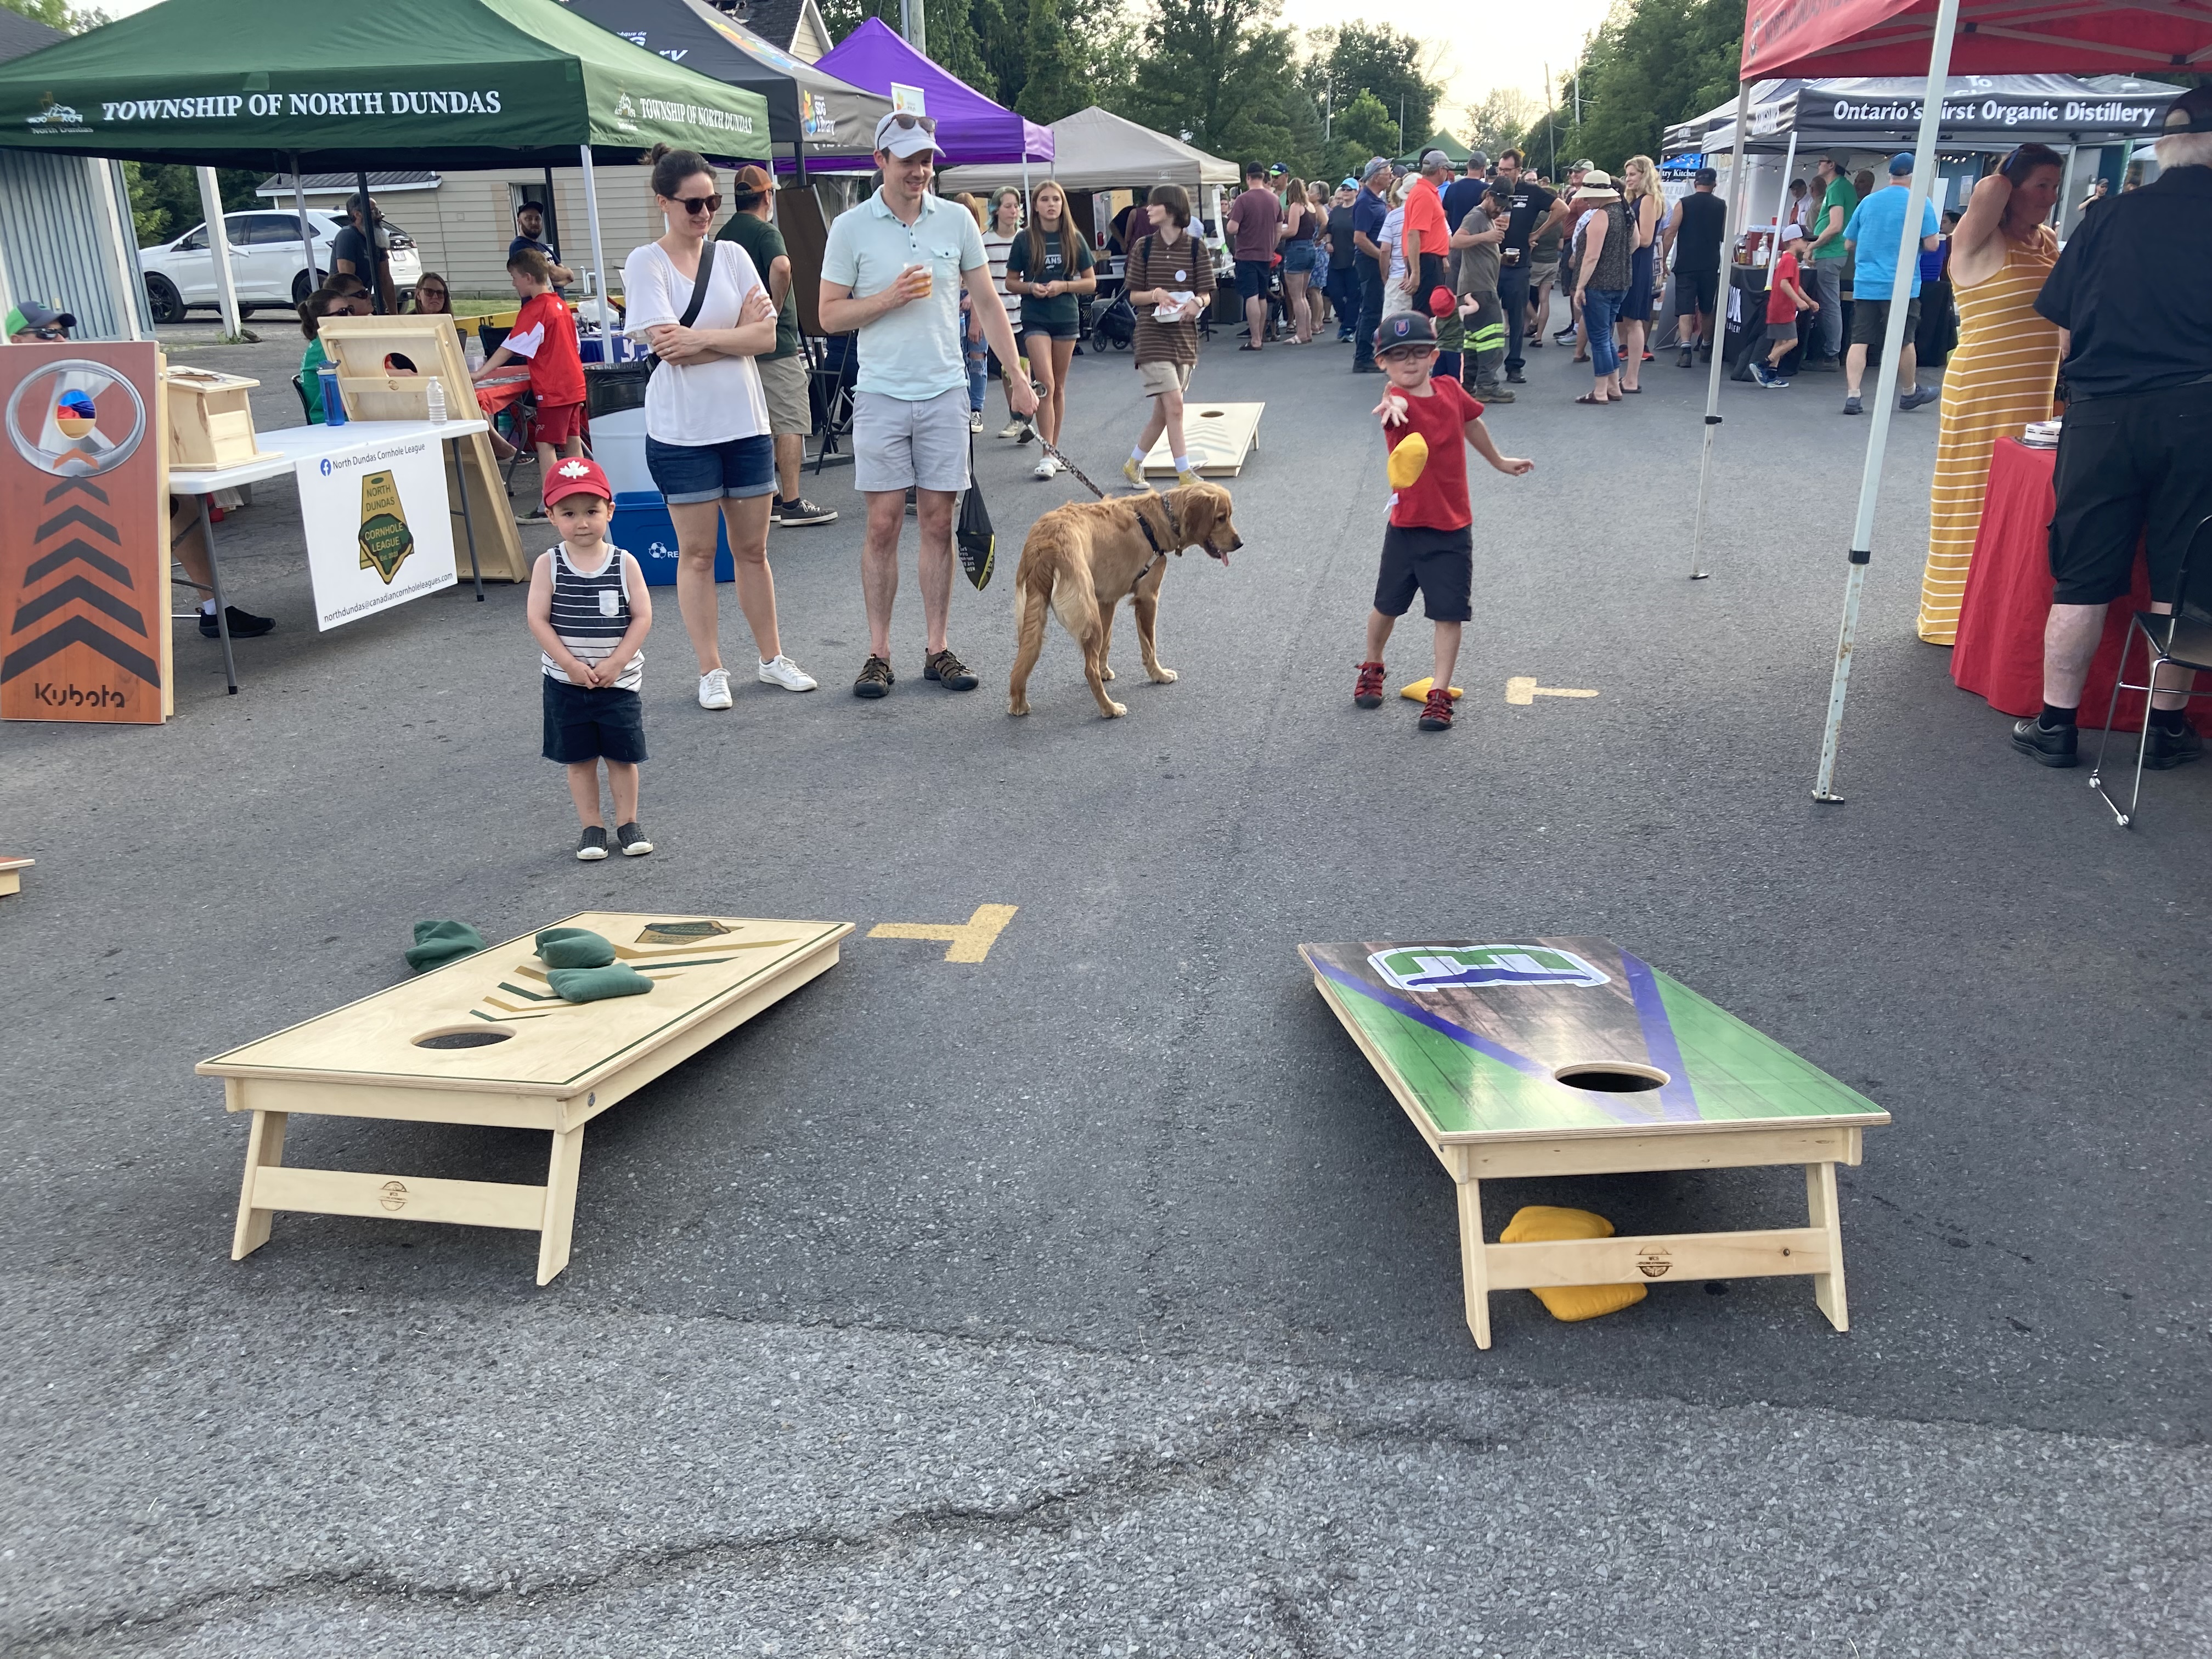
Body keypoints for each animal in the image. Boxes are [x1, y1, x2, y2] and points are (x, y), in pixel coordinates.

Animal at [1008, 477, 1238, 716]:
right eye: (1221, 518)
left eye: (1228, 516)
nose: (1240, 543)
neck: (1161, 518)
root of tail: (1045, 545)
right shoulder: (1148, 598)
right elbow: (1150, 646)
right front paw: (1159, 675)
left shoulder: (1107, 602)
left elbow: (1106, 644)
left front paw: (1105, 671)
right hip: (1088, 616)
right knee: (1088, 669)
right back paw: (1110, 708)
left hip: (1034, 618)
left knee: (1023, 661)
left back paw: (1019, 704)